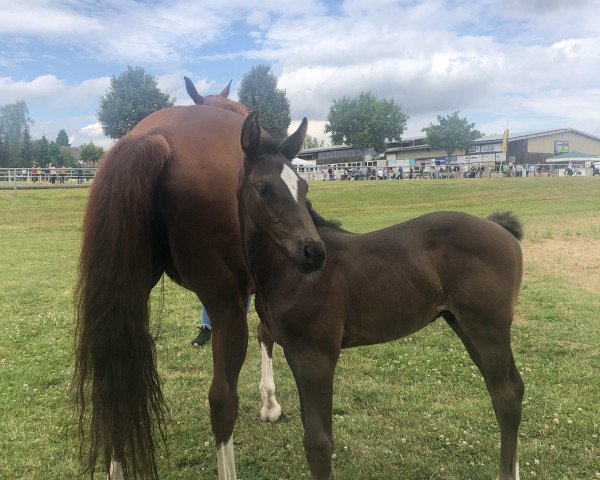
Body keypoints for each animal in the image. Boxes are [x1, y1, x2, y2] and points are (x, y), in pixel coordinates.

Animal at [238, 110, 524, 478]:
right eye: (263, 188)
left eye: (303, 187)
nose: (313, 253)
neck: (288, 274)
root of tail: (501, 228)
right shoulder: (293, 352)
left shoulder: (317, 357)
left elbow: (318, 442)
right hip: (464, 325)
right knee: (504, 389)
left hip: (488, 328)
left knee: (507, 394)